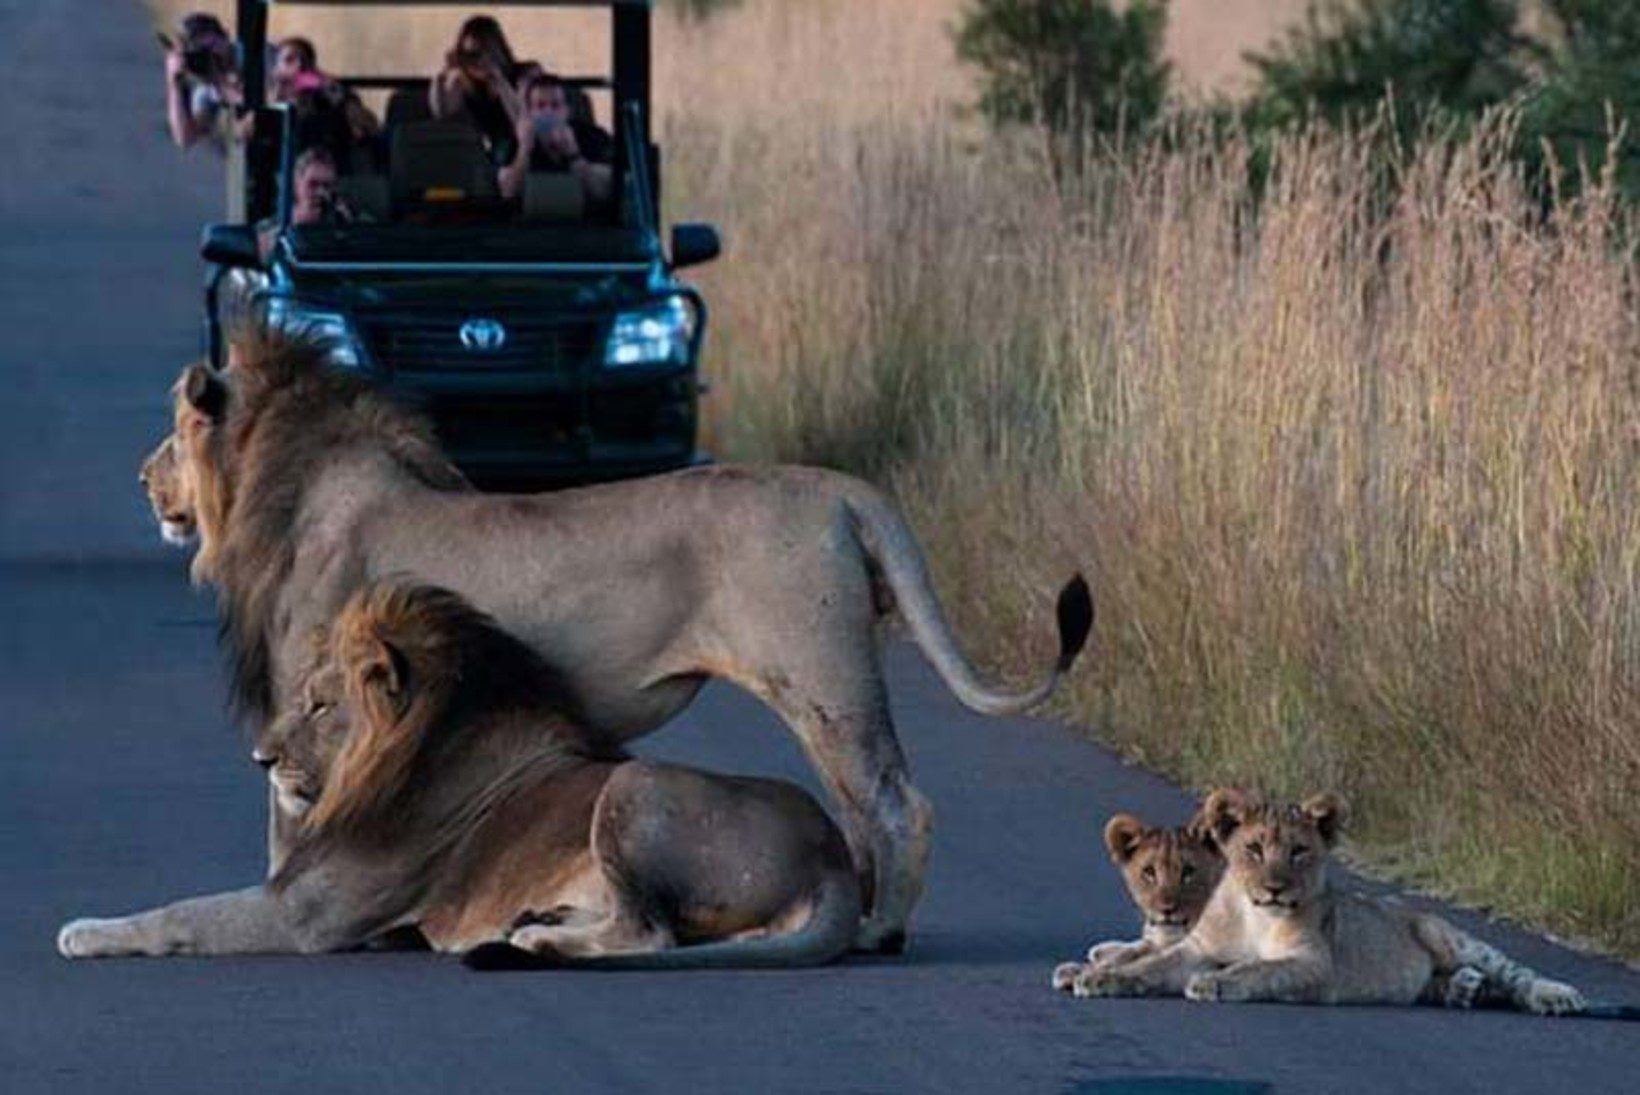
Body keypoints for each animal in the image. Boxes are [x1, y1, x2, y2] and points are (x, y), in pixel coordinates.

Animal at [58, 582, 863, 967]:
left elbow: (179, 914)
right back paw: (541, 921)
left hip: (632, 789)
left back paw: (535, 942)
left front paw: (84, 930)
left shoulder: (307, 915)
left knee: (653, 932)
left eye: (320, 705)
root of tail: (833, 858)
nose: (261, 758)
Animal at [145, 328, 1093, 952]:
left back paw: (878, 931)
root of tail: (838, 487)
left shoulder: (324, 713)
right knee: (864, 810)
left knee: (899, 803)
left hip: (824, 678)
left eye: (175, 428)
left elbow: (289, 831)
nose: (144, 476)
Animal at [1050, 810, 1223, 992]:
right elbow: (1130, 954)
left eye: (1188, 871)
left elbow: (1154, 965)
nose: (1167, 909)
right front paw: (1081, 970)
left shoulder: (1209, 956)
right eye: (1149, 872)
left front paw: (1098, 978)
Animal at [1069, 789, 1587, 1016]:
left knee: (1514, 973)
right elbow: (1149, 963)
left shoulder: (1313, 962)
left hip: (1452, 938)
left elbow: (1258, 970)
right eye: (1253, 849)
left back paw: (1556, 996)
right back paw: (1462, 990)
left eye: (1299, 851)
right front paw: (1100, 977)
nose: (1275, 888)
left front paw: (1213, 983)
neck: (1254, 916)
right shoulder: (1195, 947)